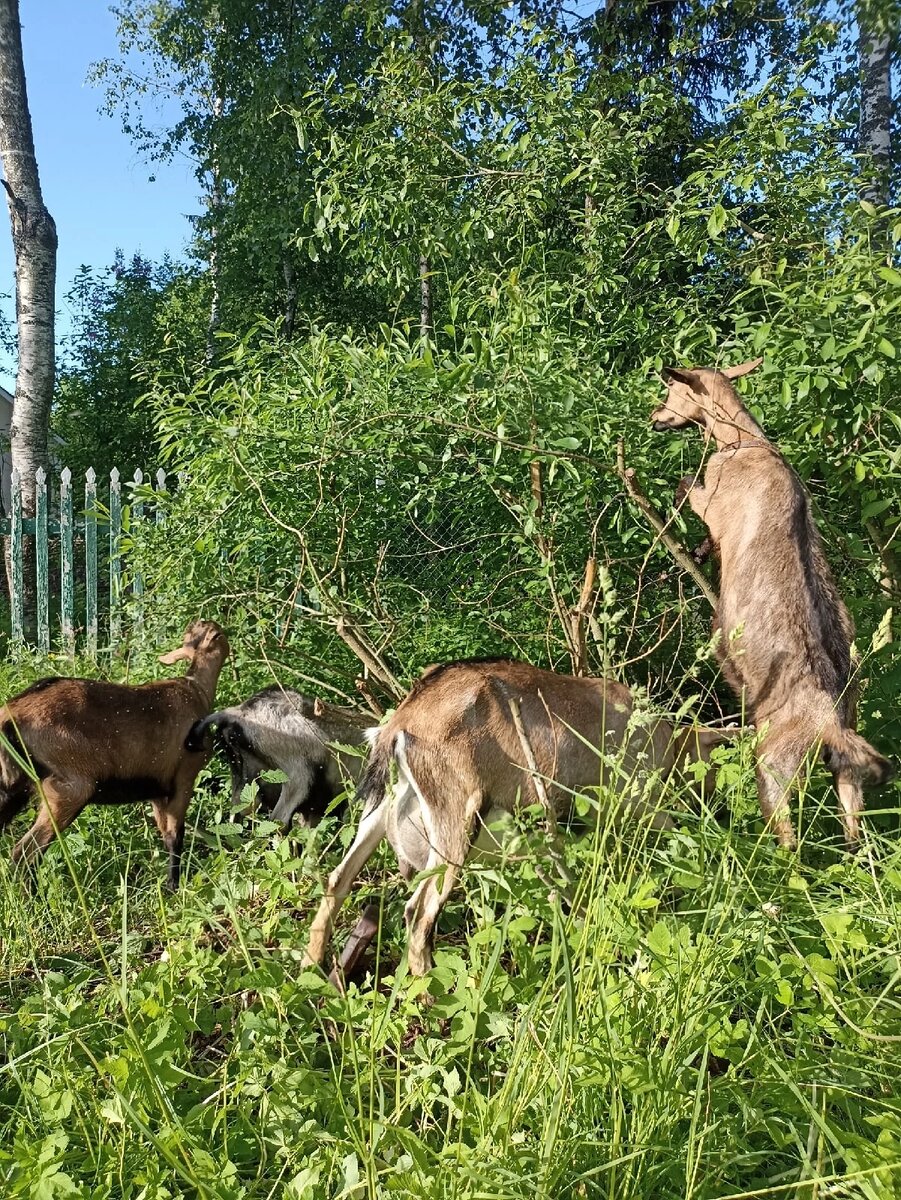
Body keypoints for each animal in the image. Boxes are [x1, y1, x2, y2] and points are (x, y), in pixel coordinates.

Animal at [0, 619, 230, 892]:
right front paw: (173, 888)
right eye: (216, 633)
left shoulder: (156, 788)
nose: (203, 621)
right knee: (25, 852)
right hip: (69, 788)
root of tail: (10, 715)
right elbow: (176, 836)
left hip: (13, 788)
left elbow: (165, 834)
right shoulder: (184, 777)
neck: (196, 690)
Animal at [307, 662, 729, 979]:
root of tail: (401, 724)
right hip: (454, 819)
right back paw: (429, 997)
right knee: (420, 913)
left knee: (338, 879)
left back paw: (311, 966)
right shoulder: (640, 800)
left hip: (379, 812)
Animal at [647, 355, 897, 844]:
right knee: (853, 825)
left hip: (775, 764)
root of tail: (827, 721)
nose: (656, 417)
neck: (745, 444)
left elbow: (687, 486)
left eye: (673, 390)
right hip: (847, 765)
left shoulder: (710, 500)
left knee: (786, 835)